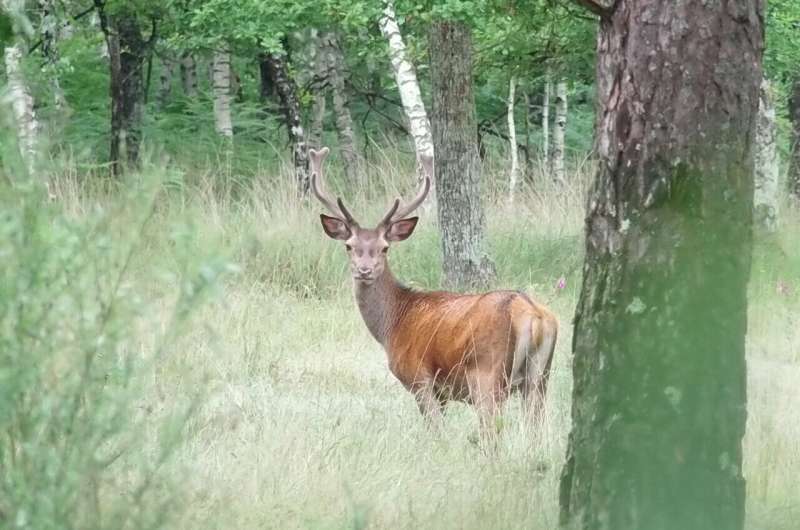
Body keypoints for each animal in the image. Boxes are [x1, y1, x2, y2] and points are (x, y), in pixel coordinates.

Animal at [309, 146, 558, 438]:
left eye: (384, 248)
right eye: (349, 245)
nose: (364, 270)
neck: (392, 325)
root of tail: (532, 314)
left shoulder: (420, 379)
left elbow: (436, 432)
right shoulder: (442, 393)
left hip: (486, 374)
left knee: (491, 432)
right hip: (540, 377)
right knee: (536, 430)